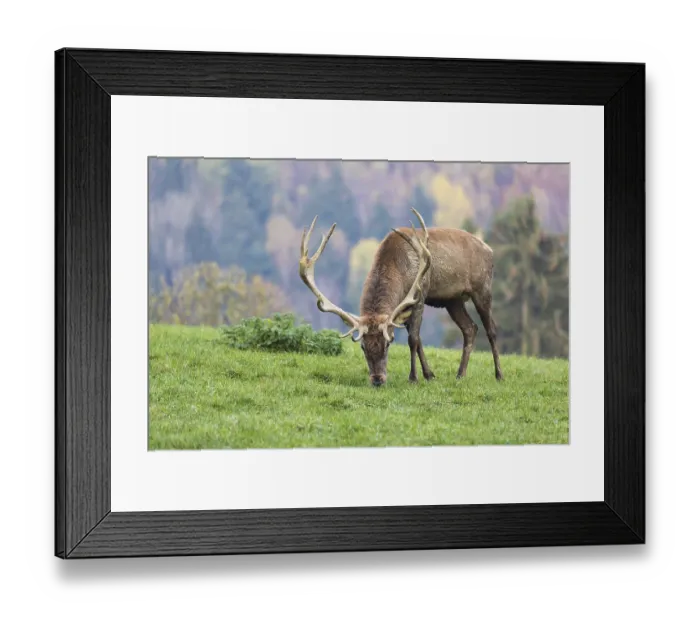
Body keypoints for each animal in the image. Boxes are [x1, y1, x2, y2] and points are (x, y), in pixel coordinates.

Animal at [299, 208, 503, 387]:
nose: (377, 380)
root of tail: (490, 251)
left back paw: (499, 374)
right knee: (470, 328)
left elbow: (413, 339)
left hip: (482, 288)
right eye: (363, 347)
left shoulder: (420, 295)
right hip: (452, 300)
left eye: (388, 344)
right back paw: (460, 374)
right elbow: (418, 339)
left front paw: (413, 378)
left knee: (491, 329)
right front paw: (429, 375)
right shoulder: (403, 308)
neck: (398, 267)